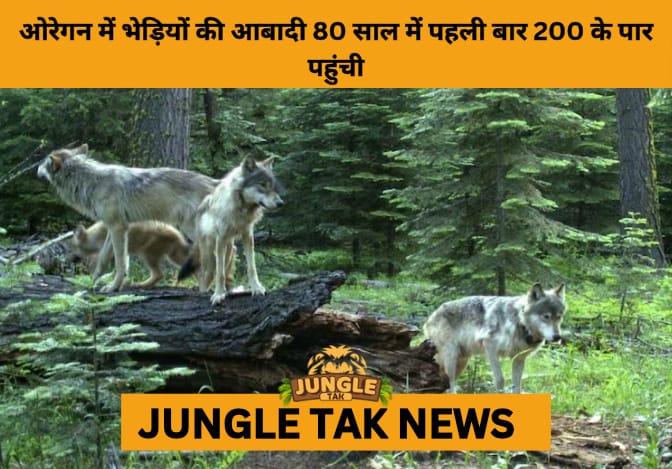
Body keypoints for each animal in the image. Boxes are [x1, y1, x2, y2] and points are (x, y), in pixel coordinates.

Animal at [37, 144, 219, 292]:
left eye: (44, 161)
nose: (36, 168)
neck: (92, 183)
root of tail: (216, 183)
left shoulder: (118, 227)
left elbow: (120, 263)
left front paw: (113, 287)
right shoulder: (112, 227)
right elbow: (103, 259)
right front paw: (92, 283)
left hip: (193, 230)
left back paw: (208, 290)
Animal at [178, 155, 284, 305]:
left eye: (272, 186)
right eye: (262, 184)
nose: (281, 203)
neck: (241, 209)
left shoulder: (248, 236)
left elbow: (251, 267)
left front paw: (257, 288)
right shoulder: (221, 239)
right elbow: (220, 274)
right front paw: (218, 295)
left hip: (230, 251)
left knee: (226, 274)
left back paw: (229, 290)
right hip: (209, 255)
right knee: (205, 276)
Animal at [424, 283, 565, 393]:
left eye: (559, 316)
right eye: (546, 316)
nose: (557, 337)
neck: (519, 322)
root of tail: (431, 316)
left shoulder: (518, 358)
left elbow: (517, 385)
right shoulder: (490, 347)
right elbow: (500, 380)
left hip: (462, 361)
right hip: (451, 360)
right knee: (450, 384)